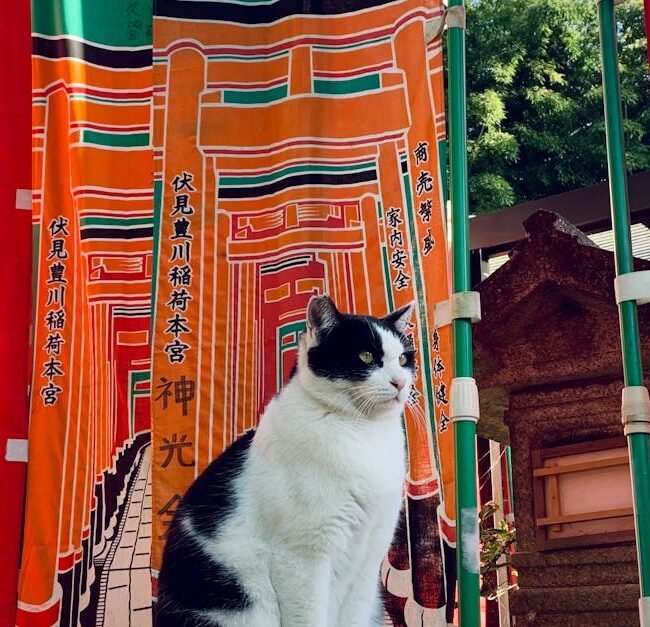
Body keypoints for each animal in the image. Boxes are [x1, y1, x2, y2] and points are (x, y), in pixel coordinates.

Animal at [154, 296, 412, 627]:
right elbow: (309, 616)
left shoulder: (369, 558)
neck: (364, 433)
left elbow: (355, 611)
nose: (399, 382)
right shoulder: (303, 558)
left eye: (403, 359)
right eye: (366, 356)